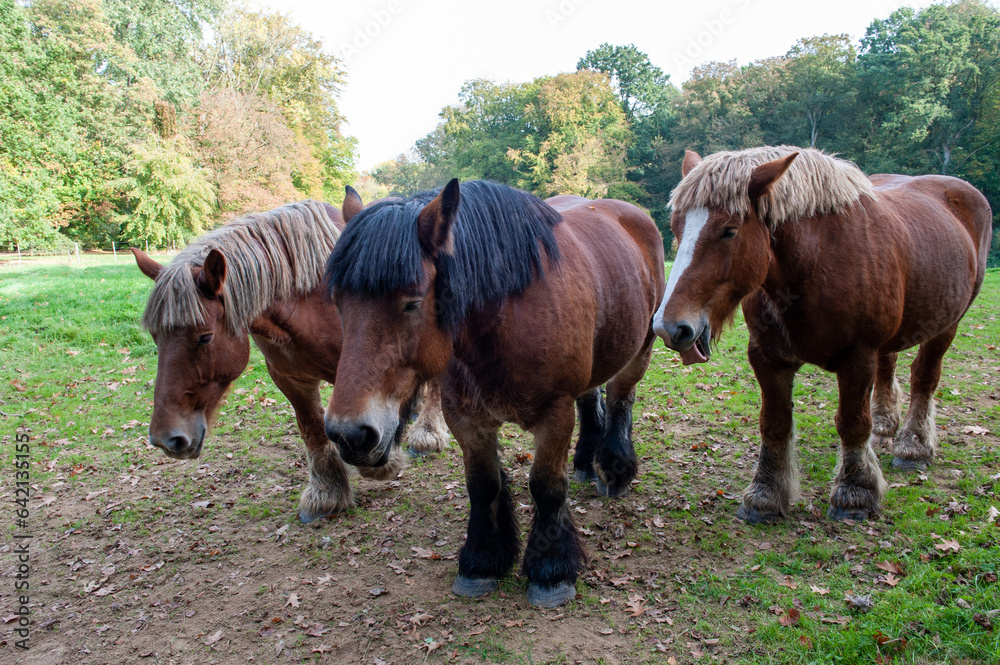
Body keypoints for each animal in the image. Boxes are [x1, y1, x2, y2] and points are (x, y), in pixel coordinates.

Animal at [131, 199, 450, 524]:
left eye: (204, 337)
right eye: (155, 336)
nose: (166, 439)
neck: (309, 300)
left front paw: (380, 462)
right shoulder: (290, 380)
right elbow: (313, 429)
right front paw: (326, 493)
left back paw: (426, 435)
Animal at [321, 179, 665, 608]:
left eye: (413, 302)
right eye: (337, 302)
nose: (349, 434)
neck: (505, 318)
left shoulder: (555, 414)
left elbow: (546, 487)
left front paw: (550, 570)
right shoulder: (466, 418)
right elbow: (483, 485)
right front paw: (482, 561)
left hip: (640, 349)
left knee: (621, 398)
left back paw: (613, 469)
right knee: (592, 399)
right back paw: (586, 462)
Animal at [652, 146, 992, 523]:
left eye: (729, 230)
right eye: (676, 226)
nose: (669, 326)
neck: (814, 261)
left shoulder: (858, 358)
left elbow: (853, 423)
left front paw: (855, 492)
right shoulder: (767, 358)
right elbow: (774, 424)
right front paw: (766, 495)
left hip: (948, 323)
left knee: (924, 377)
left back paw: (913, 446)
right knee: (889, 366)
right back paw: (885, 427)